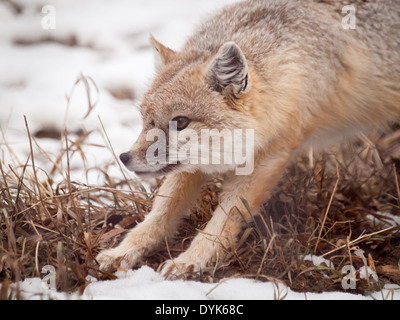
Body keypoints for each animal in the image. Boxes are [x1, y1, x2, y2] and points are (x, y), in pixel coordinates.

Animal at [97, 0, 400, 278]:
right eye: (146, 121)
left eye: (180, 122)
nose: (125, 158)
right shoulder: (193, 166)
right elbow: (160, 211)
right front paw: (125, 250)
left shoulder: (270, 155)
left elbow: (222, 221)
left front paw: (192, 260)